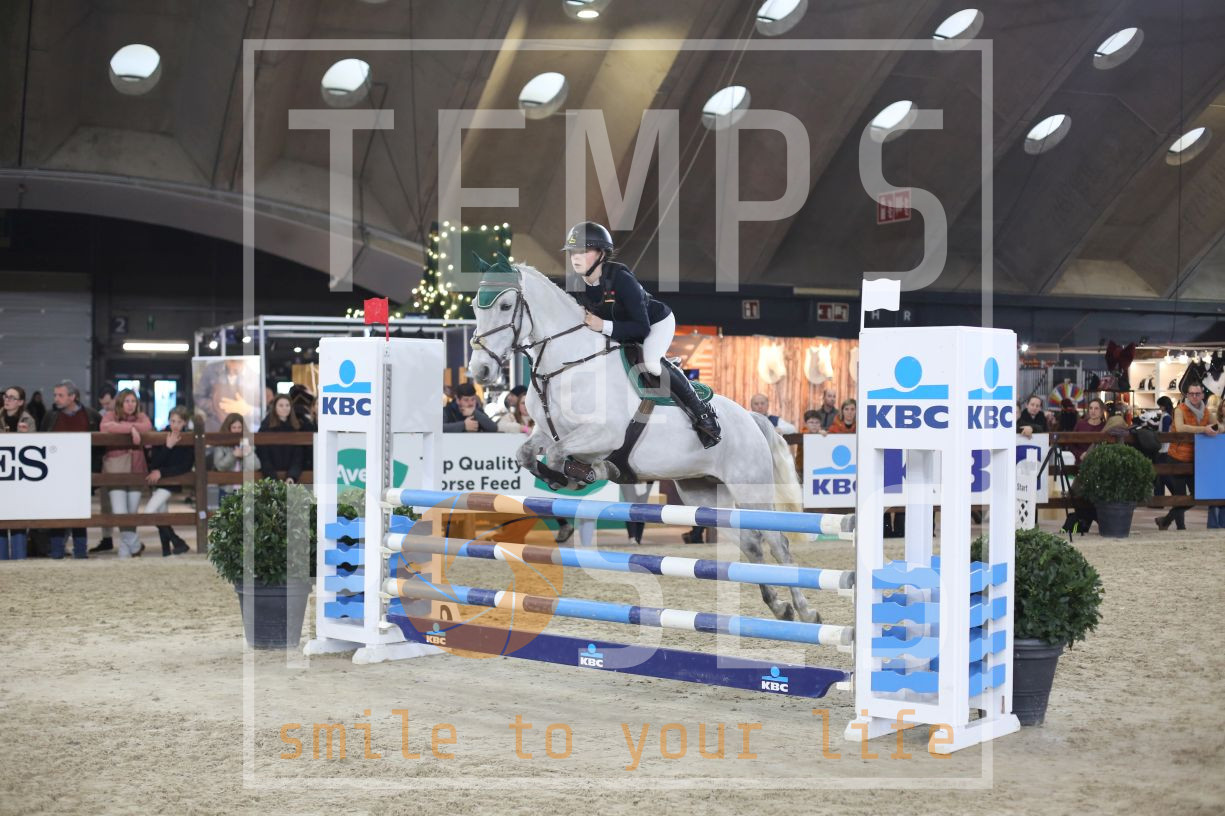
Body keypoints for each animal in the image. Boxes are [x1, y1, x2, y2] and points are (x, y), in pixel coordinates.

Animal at [466, 258, 825, 623]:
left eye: (505, 306)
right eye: (475, 308)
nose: (480, 371)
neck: (565, 367)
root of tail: (752, 419)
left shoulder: (602, 434)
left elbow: (557, 455)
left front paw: (585, 473)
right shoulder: (545, 431)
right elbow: (527, 454)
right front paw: (571, 475)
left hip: (751, 488)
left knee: (777, 541)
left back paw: (806, 611)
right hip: (705, 491)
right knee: (751, 542)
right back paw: (780, 607)